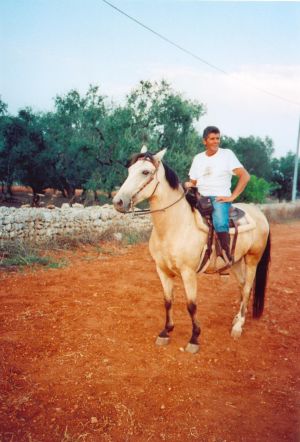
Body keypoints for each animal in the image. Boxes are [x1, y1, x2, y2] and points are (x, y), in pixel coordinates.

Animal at [113, 147, 272, 354]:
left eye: (145, 172)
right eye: (129, 170)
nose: (118, 201)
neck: (175, 226)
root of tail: (260, 214)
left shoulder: (188, 273)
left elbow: (191, 306)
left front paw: (194, 338)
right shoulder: (162, 270)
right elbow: (168, 301)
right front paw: (165, 332)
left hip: (252, 259)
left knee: (246, 288)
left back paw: (238, 327)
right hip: (236, 261)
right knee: (243, 285)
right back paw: (238, 318)